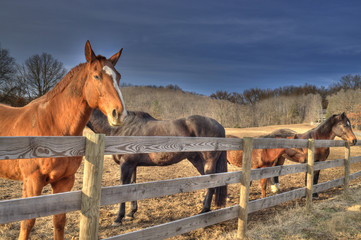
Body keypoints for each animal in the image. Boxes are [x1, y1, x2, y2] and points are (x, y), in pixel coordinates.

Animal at [0, 40, 126, 239]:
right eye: (96, 76)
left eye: (118, 77)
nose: (119, 113)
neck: (52, 128)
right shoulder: (32, 181)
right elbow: (27, 223)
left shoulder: (64, 181)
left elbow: (59, 221)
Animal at [86, 108, 226, 226]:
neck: (120, 128)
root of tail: (220, 126)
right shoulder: (132, 165)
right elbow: (132, 186)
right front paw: (131, 213)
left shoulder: (126, 164)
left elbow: (124, 188)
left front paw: (118, 218)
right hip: (197, 160)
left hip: (208, 161)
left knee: (212, 183)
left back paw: (204, 210)